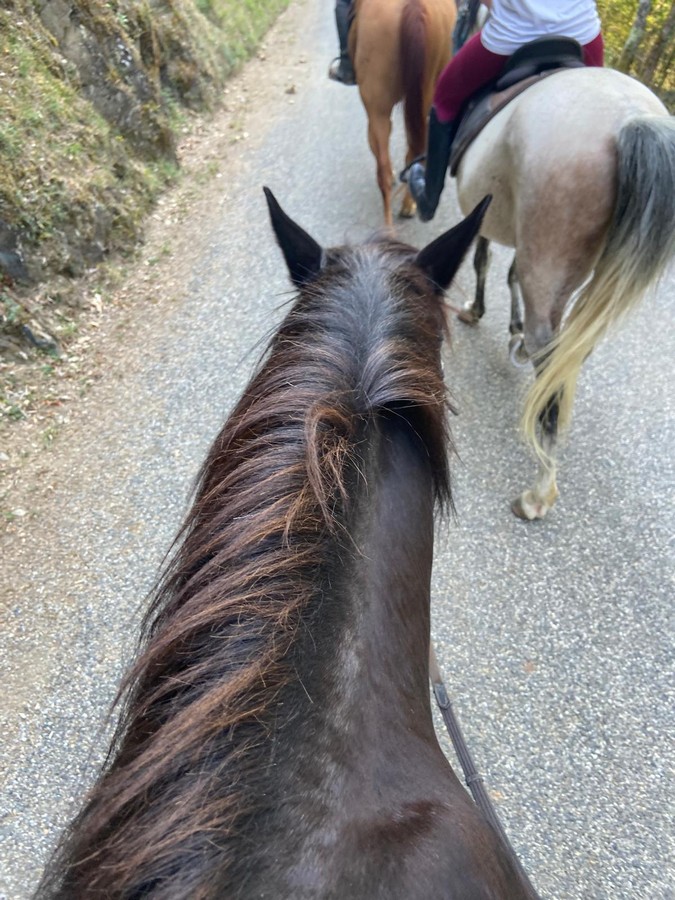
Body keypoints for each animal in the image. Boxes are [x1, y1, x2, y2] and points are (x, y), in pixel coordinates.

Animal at [453, 65, 675, 520]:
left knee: (550, 357)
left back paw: (539, 493)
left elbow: (484, 260)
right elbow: (509, 272)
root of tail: (629, 115)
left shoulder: (485, 218)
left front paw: (477, 310)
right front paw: (512, 327)